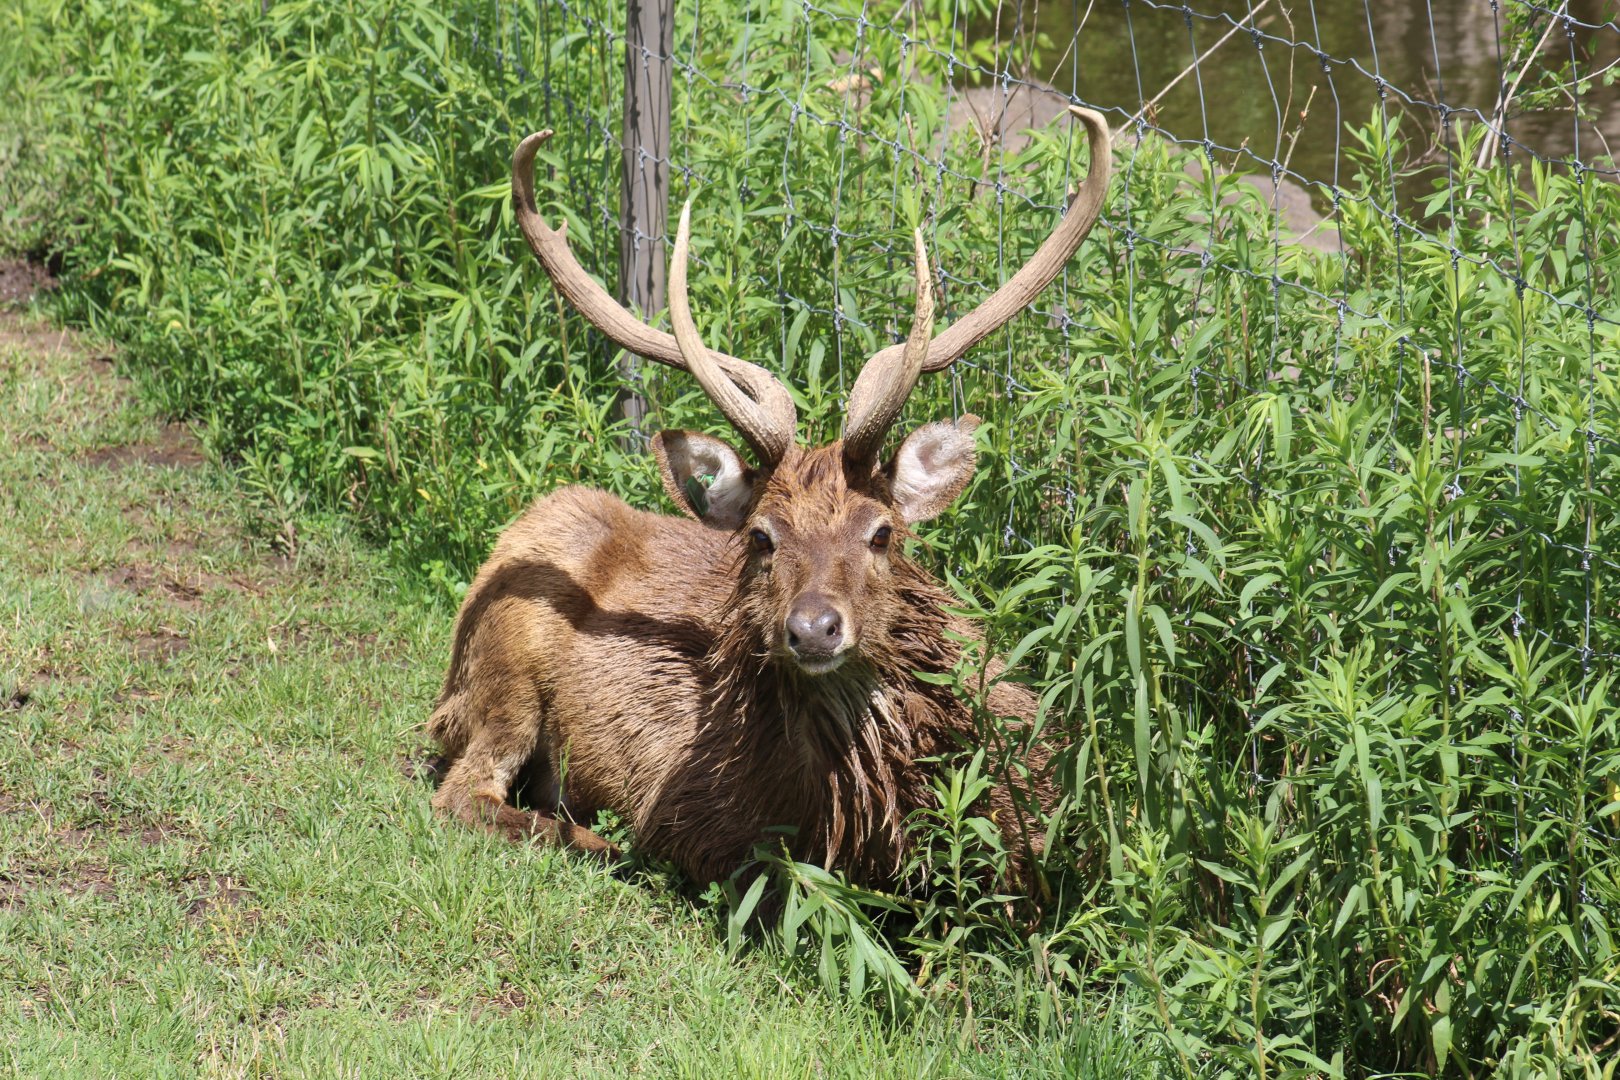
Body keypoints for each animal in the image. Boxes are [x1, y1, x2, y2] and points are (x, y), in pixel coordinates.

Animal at [427, 106, 1110, 892]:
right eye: (761, 536)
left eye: (882, 532)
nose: (813, 629)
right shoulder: (691, 820)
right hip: (503, 669)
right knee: (462, 792)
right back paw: (585, 836)